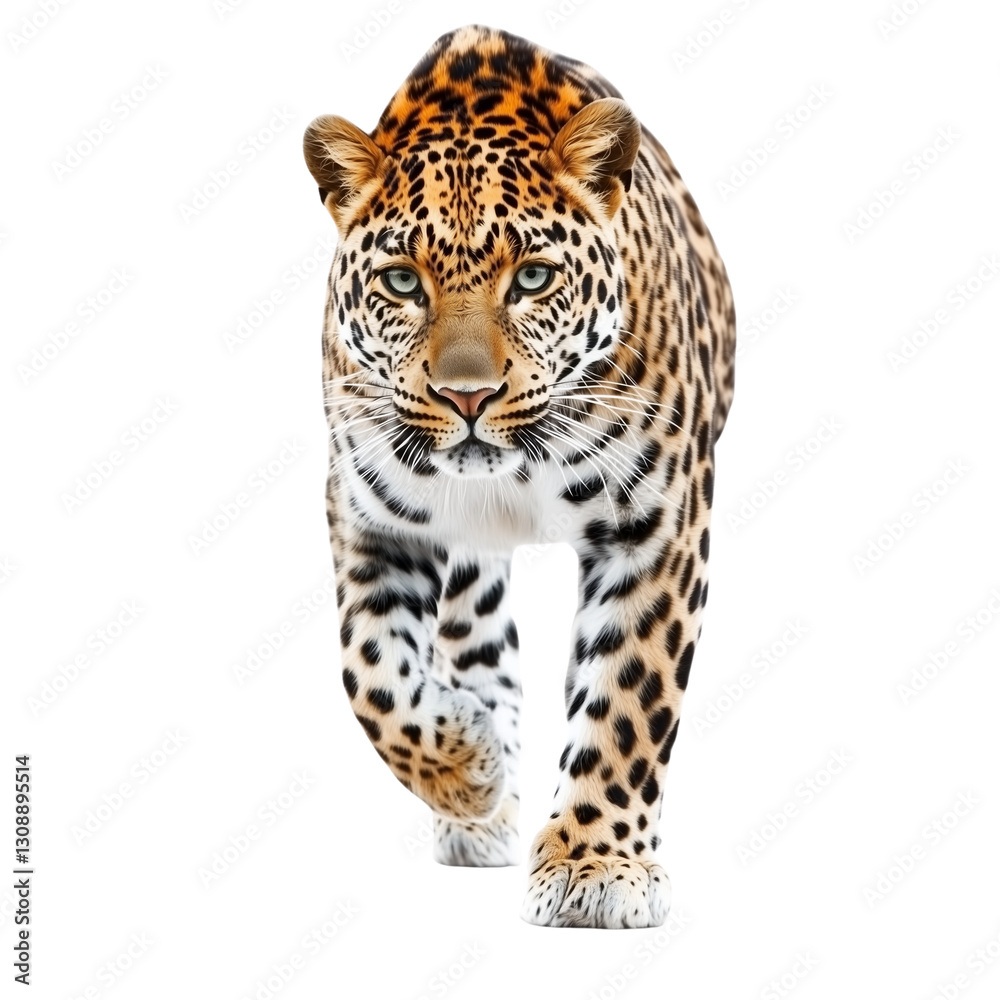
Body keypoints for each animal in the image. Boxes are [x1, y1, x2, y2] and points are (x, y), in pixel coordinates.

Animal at [302, 24, 735, 928]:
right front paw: (467, 771)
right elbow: (369, 673)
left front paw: (595, 866)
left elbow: (627, 696)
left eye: (532, 277)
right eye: (403, 281)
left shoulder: (661, 522)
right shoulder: (368, 515)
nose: (467, 396)